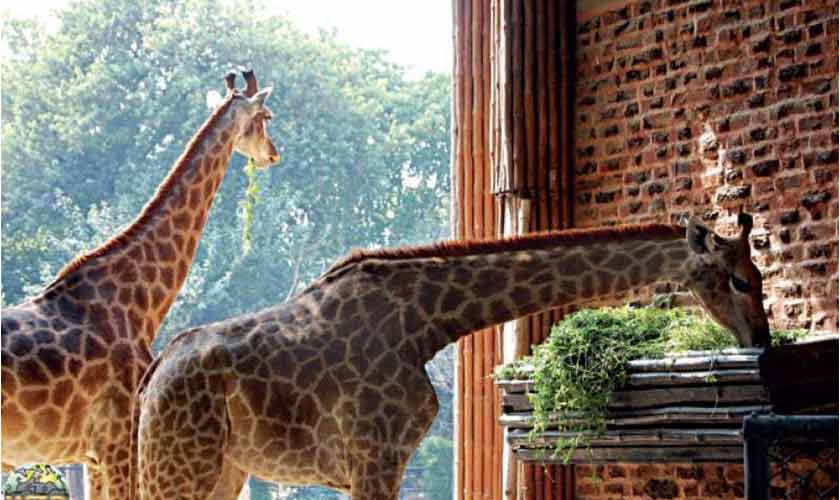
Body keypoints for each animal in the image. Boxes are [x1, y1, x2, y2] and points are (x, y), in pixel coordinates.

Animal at [134, 215, 770, 500]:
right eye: (740, 279)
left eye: (760, 277)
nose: (760, 340)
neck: (426, 321)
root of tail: (150, 382)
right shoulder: (375, 460)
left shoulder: (378, 466)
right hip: (182, 466)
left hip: (223, 470)